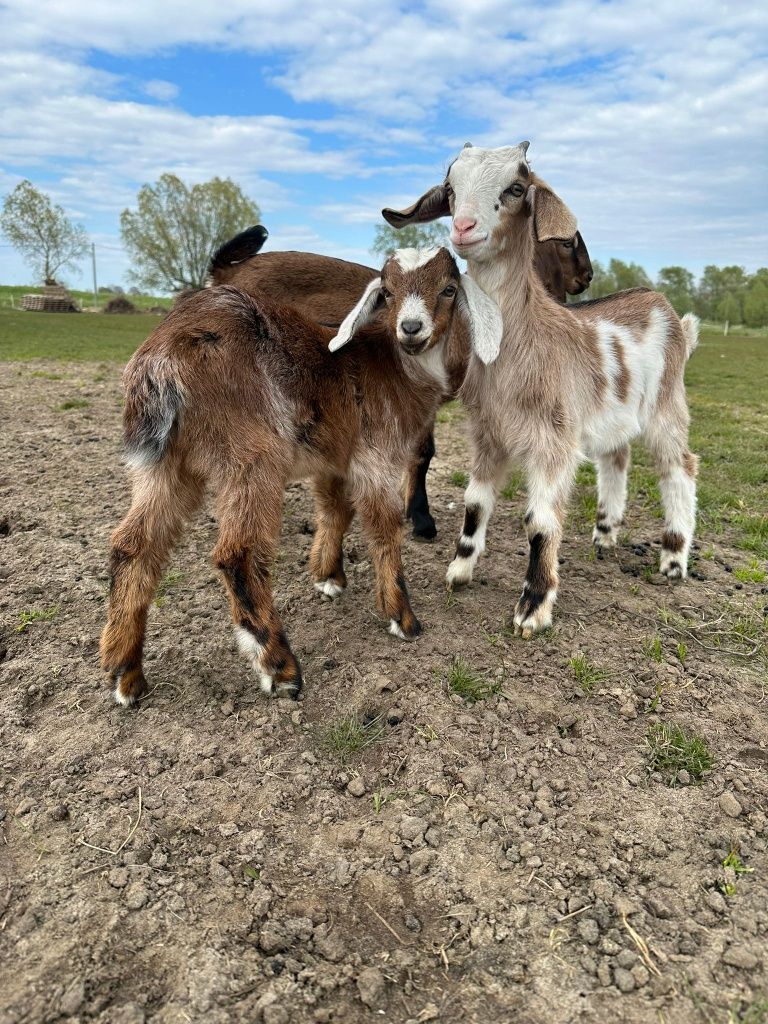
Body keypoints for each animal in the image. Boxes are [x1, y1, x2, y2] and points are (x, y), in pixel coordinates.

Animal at [382, 140, 700, 634]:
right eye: (450, 188)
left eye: (516, 187)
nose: (463, 228)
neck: (519, 346)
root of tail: (667, 310)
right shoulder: (488, 433)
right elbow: (475, 503)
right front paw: (459, 571)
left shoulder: (553, 442)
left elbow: (540, 522)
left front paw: (533, 607)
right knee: (617, 458)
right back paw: (604, 534)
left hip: (667, 405)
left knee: (679, 466)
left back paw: (673, 558)